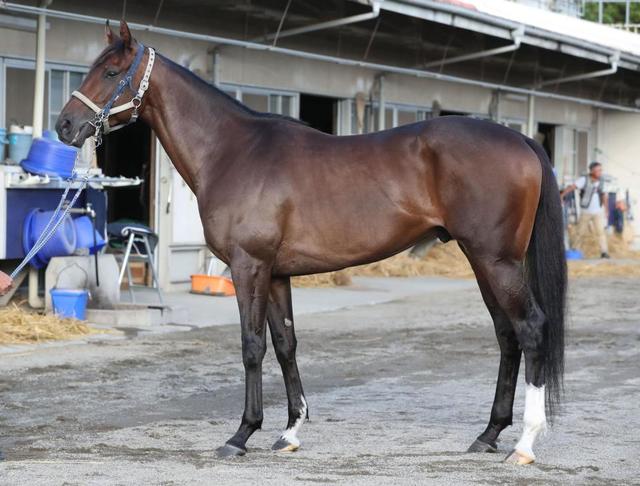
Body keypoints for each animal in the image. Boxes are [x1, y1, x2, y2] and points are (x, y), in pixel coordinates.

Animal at [56, 21, 566, 464]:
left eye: (111, 72)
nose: (64, 126)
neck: (232, 151)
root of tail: (521, 139)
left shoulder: (249, 266)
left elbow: (252, 346)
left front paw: (240, 435)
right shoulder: (276, 273)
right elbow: (286, 344)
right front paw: (289, 433)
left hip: (495, 260)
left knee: (531, 329)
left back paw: (524, 444)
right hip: (484, 262)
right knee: (507, 336)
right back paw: (488, 434)